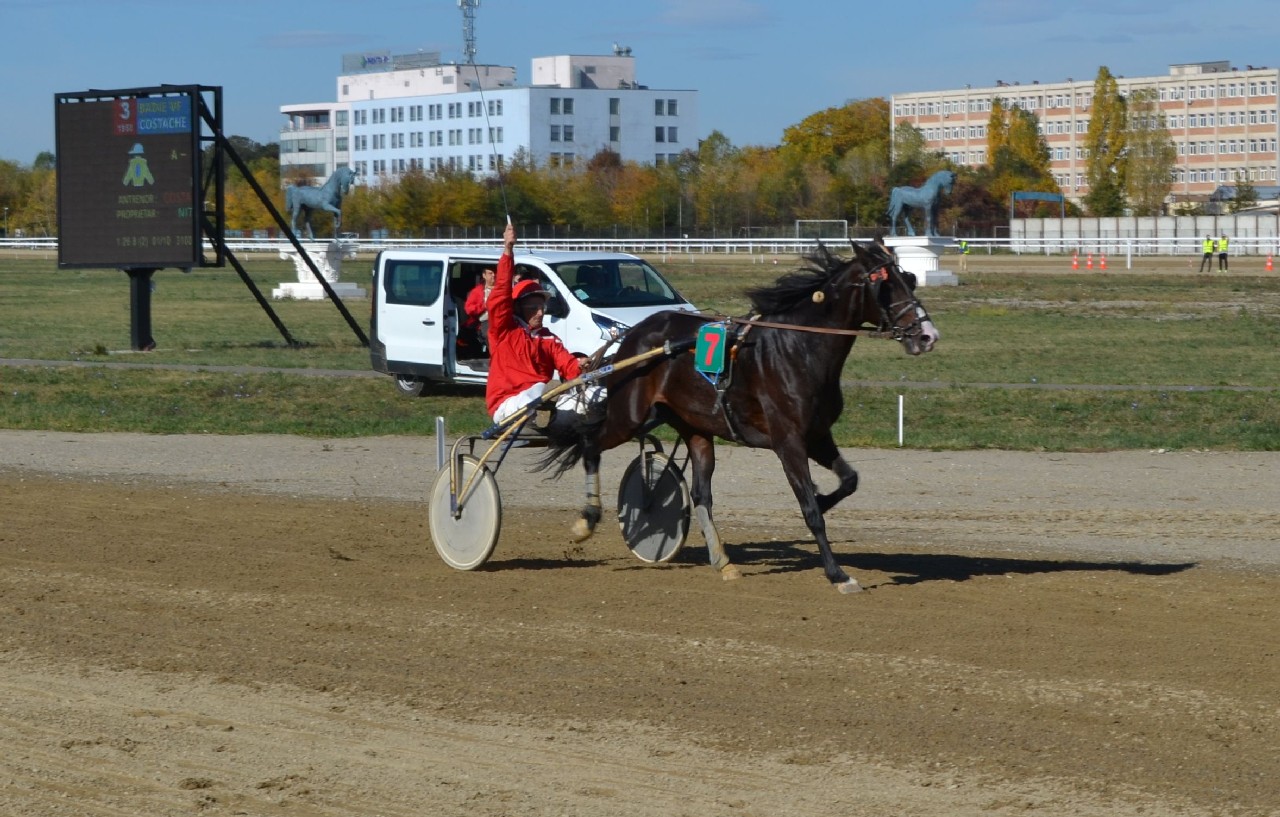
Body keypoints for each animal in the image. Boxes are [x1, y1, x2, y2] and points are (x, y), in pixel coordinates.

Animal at [540, 240, 939, 593]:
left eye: (909, 278)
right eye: (885, 284)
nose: (927, 335)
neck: (799, 349)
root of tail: (632, 337)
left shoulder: (816, 435)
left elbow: (849, 481)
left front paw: (825, 499)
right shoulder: (788, 442)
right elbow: (810, 509)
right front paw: (838, 574)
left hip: (696, 427)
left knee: (700, 493)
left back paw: (723, 561)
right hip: (629, 415)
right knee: (590, 443)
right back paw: (587, 520)